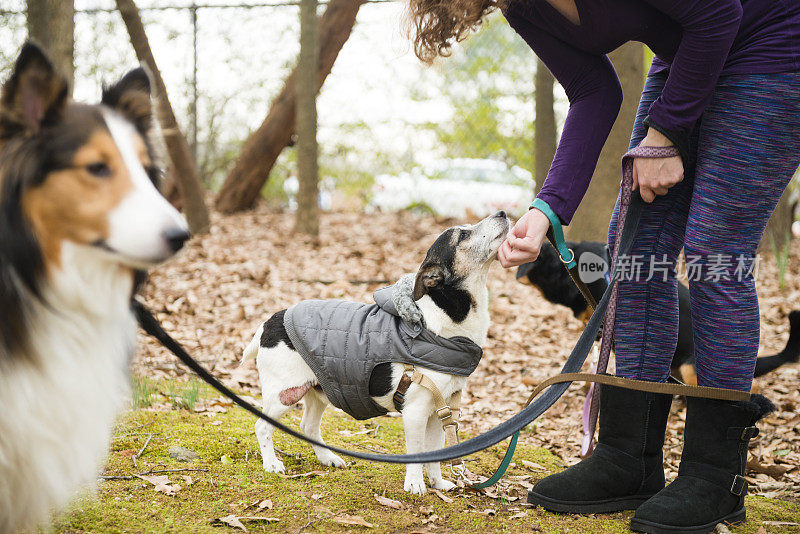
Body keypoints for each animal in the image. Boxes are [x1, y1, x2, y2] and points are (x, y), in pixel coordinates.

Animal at [241, 211, 510, 496]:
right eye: (463, 235)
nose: (502, 213)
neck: (445, 322)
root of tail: (270, 322)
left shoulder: (440, 412)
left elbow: (434, 454)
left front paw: (437, 483)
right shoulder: (415, 412)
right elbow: (417, 453)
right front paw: (415, 484)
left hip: (319, 390)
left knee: (308, 427)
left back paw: (327, 459)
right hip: (284, 393)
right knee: (262, 426)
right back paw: (272, 463)